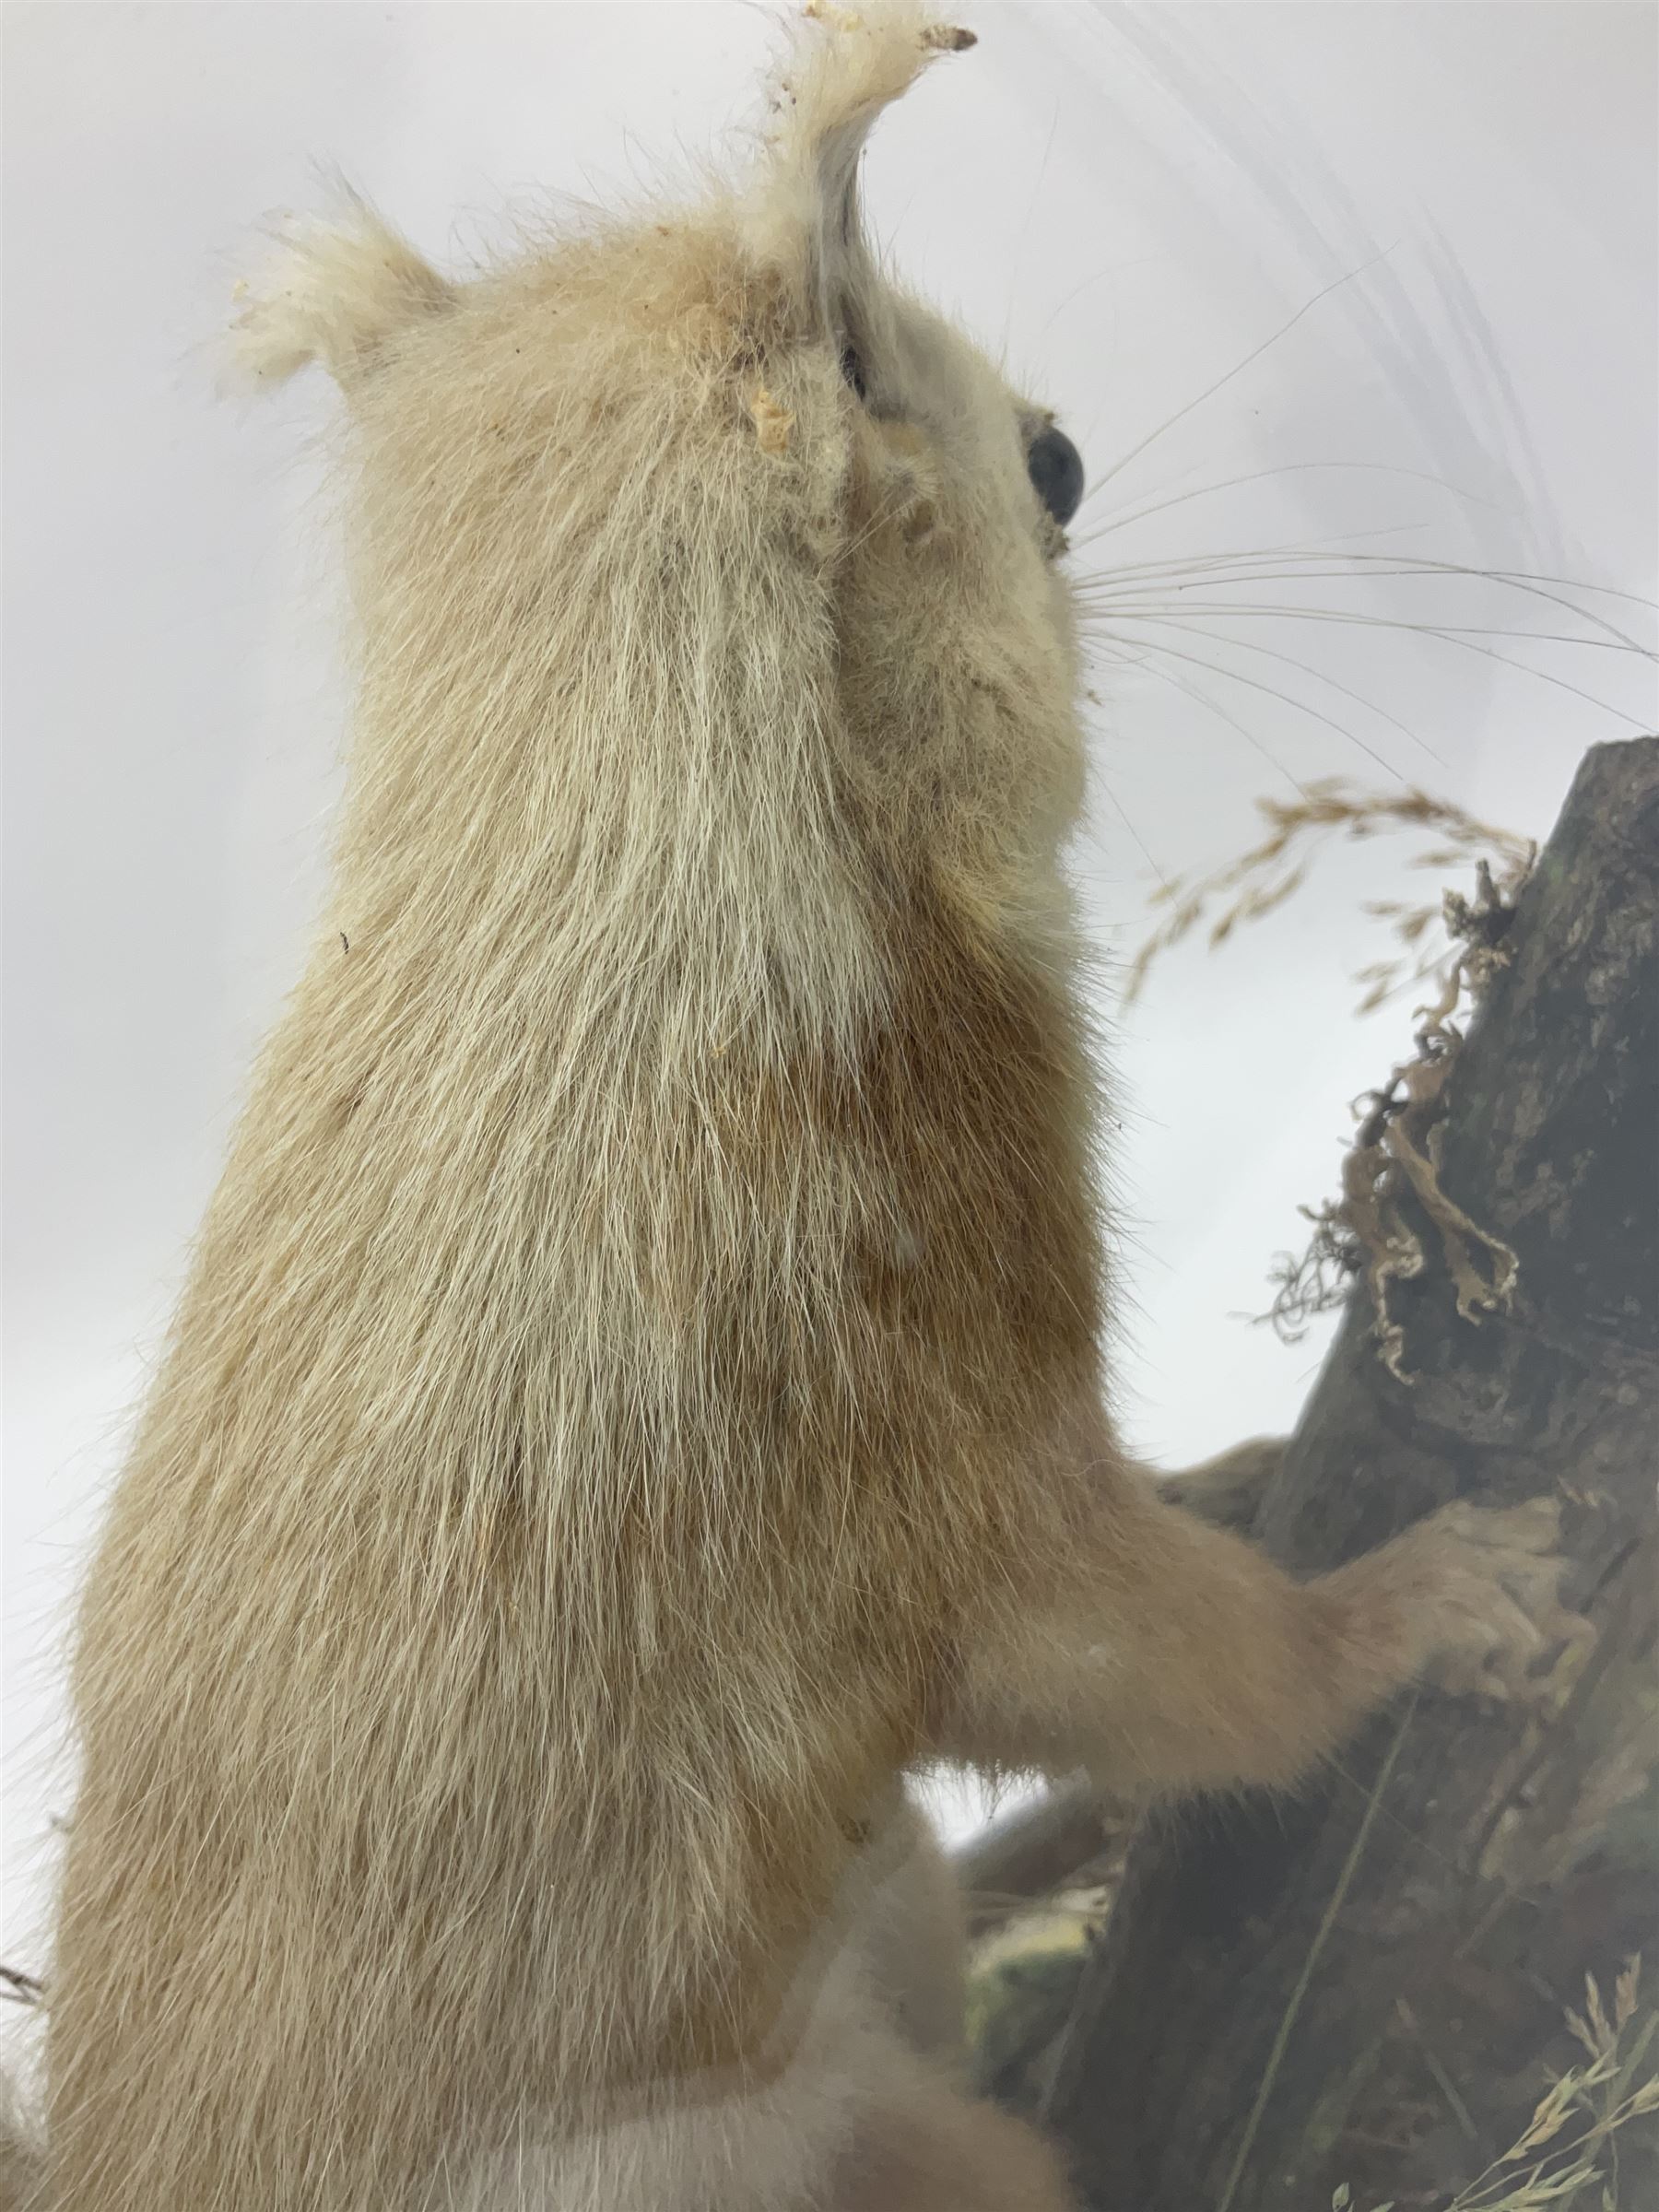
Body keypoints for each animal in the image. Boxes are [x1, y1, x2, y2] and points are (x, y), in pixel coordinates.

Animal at [24, 10, 1577, 2208]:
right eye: (1052, 464)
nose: (1083, 490)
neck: (611, 867)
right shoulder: (919, 1431)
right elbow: (1183, 1668)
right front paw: (1436, 1603)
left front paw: (1237, 1470)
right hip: (850, 2140)